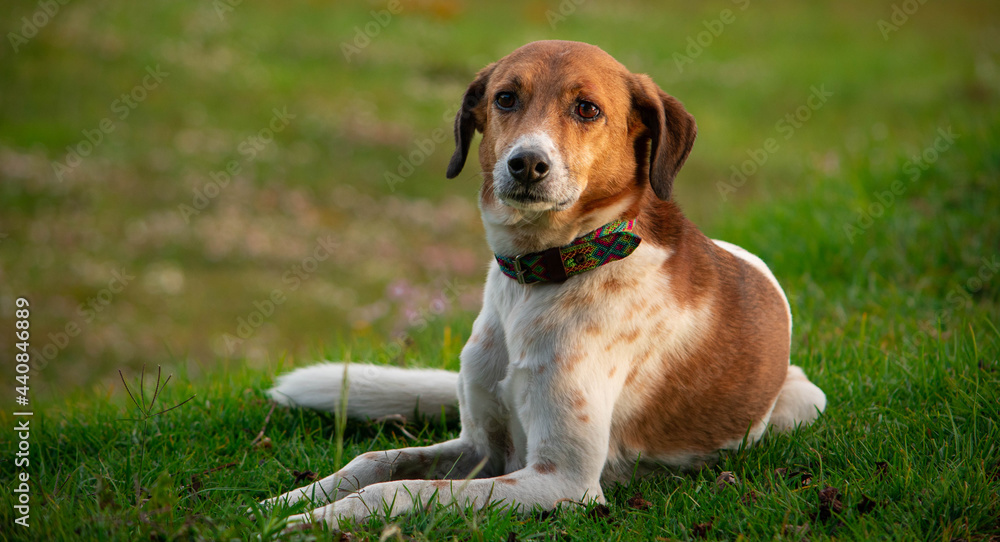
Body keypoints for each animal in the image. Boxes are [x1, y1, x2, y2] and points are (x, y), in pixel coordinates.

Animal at [262, 39, 824, 532]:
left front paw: (319, 519)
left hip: (805, 402)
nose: (527, 163)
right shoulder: (481, 448)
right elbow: (376, 460)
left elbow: (402, 488)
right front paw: (285, 501)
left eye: (587, 109)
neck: (536, 279)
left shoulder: (562, 481)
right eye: (506, 97)